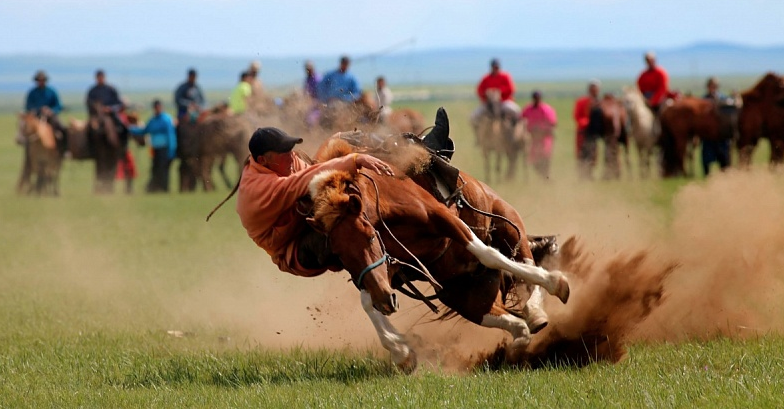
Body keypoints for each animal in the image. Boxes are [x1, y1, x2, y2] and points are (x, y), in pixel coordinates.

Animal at [308, 139, 568, 372]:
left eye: (370, 237)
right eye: (339, 254)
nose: (385, 300)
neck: (381, 195)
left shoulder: (442, 217)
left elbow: (486, 253)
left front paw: (557, 282)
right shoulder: (388, 266)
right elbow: (367, 299)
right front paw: (401, 352)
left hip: (509, 223)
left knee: (526, 263)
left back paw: (537, 309)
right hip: (462, 296)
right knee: (511, 323)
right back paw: (518, 341)